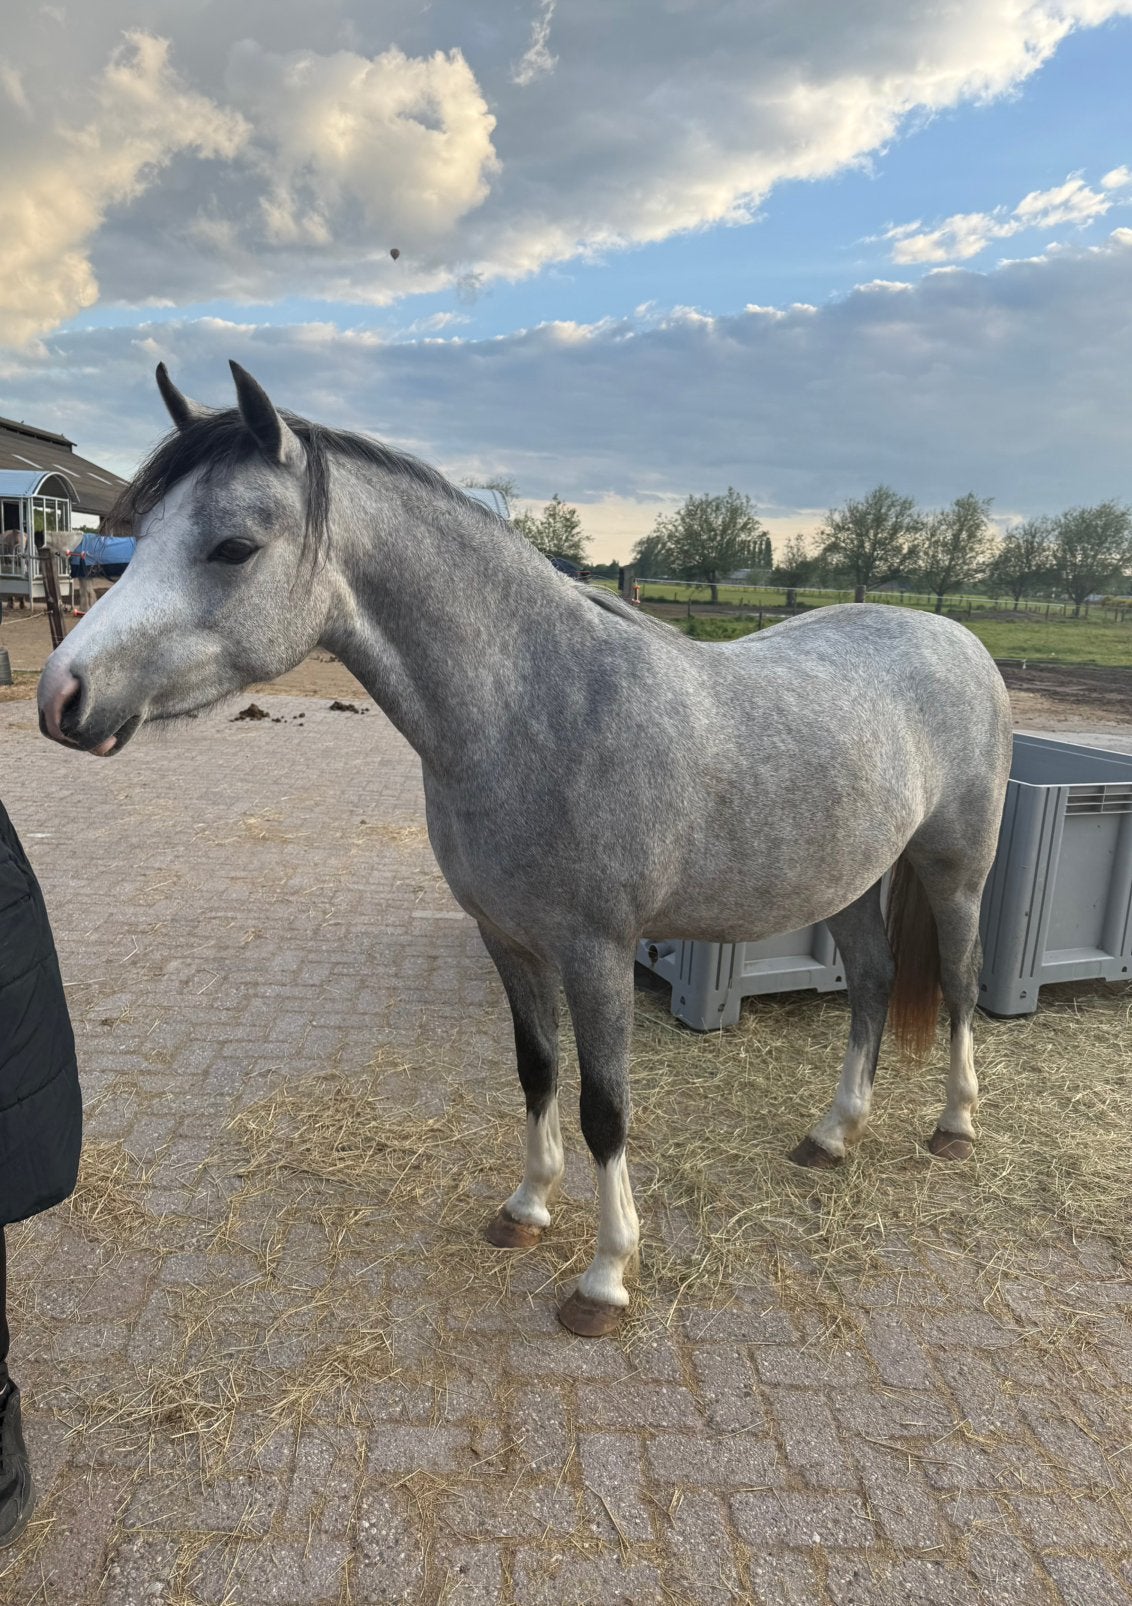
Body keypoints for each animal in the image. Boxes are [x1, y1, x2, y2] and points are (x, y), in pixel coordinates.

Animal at [38, 362, 1013, 1338]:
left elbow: (603, 1107)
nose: (60, 697)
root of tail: (959, 638)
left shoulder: (598, 953)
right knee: (876, 983)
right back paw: (833, 1135)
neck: (535, 711)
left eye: (233, 547)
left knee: (959, 982)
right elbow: (537, 1071)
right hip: (848, 883)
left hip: (956, 871)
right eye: (141, 536)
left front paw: (605, 1278)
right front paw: (527, 1209)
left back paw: (954, 1127)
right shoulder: (507, 940)